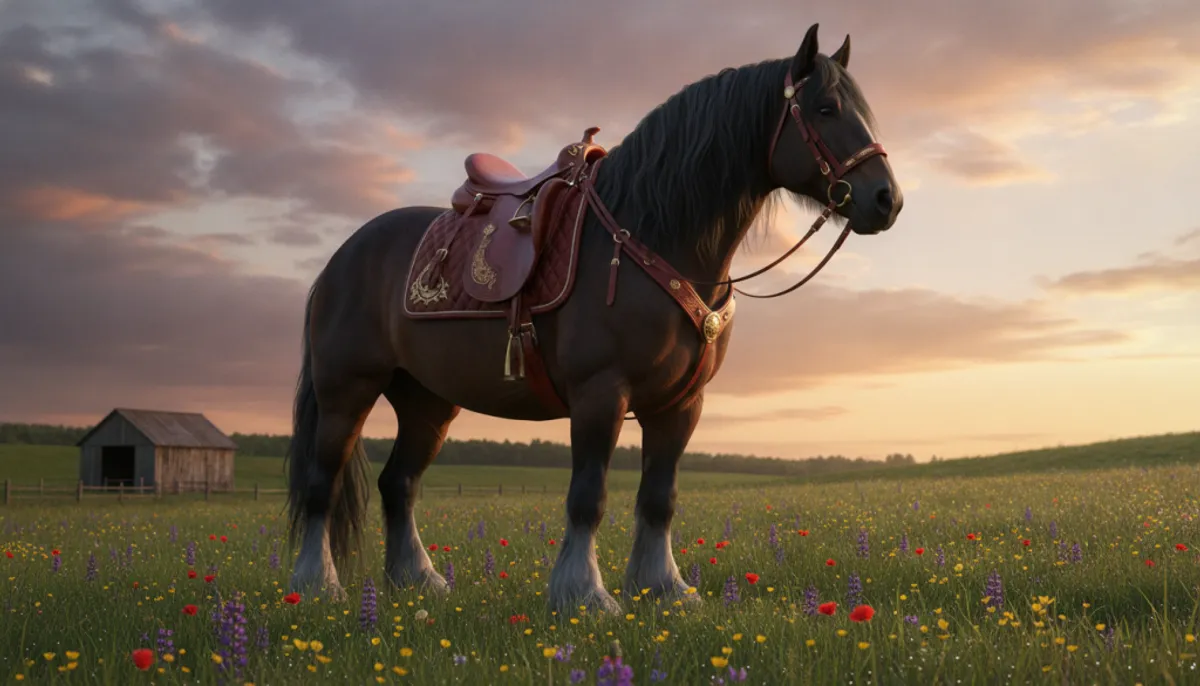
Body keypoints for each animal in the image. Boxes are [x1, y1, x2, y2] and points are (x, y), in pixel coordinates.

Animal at [284, 23, 903, 613]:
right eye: (825, 108)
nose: (886, 200)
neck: (651, 235)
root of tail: (343, 256)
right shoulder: (600, 393)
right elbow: (588, 497)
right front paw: (583, 592)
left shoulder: (681, 404)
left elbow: (659, 499)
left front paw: (663, 587)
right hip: (347, 390)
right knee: (321, 485)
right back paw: (318, 586)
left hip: (428, 401)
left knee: (399, 483)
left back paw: (417, 581)